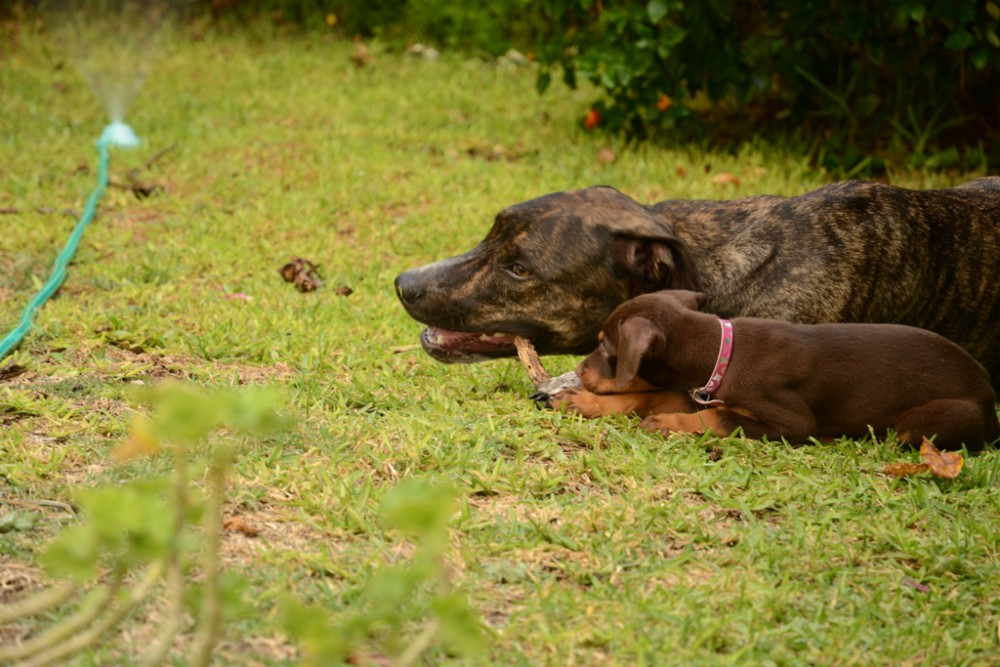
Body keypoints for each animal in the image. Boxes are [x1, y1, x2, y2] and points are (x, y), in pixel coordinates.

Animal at [572, 290, 1000, 452]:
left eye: (604, 347)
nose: (578, 370)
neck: (723, 353)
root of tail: (989, 396)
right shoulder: (702, 391)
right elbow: (652, 396)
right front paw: (581, 401)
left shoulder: (789, 419)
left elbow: (720, 418)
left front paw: (667, 424)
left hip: (927, 419)